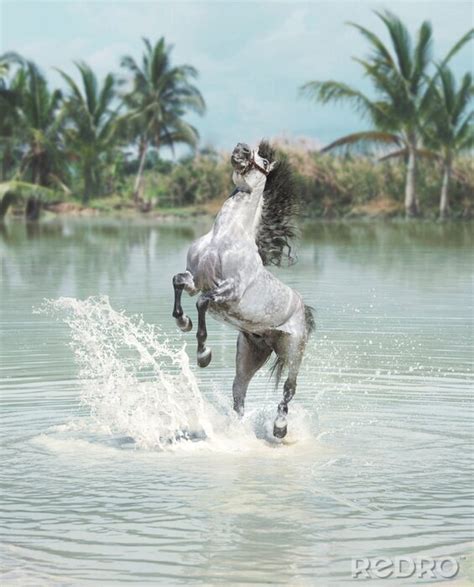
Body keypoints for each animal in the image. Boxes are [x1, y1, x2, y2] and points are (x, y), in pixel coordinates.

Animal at [171, 140, 314, 438]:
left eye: (263, 160)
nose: (242, 149)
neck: (224, 237)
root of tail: (302, 307)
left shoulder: (229, 291)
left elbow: (203, 302)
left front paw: (203, 354)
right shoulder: (195, 279)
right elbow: (178, 281)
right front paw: (183, 322)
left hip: (294, 351)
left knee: (289, 388)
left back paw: (279, 428)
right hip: (250, 354)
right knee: (239, 391)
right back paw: (238, 430)